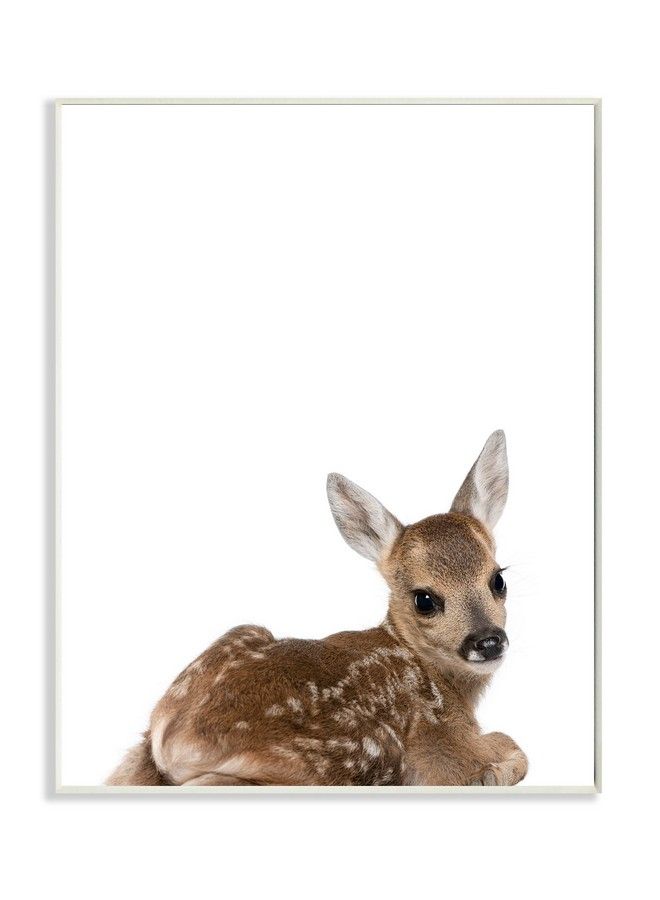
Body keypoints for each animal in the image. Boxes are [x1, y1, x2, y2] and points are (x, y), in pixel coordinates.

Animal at [107, 430, 527, 787]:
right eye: (424, 599)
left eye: (498, 580)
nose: (488, 641)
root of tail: (174, 744)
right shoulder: (439, 749)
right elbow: (514, 751)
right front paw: (495, 770)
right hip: (347, 757)